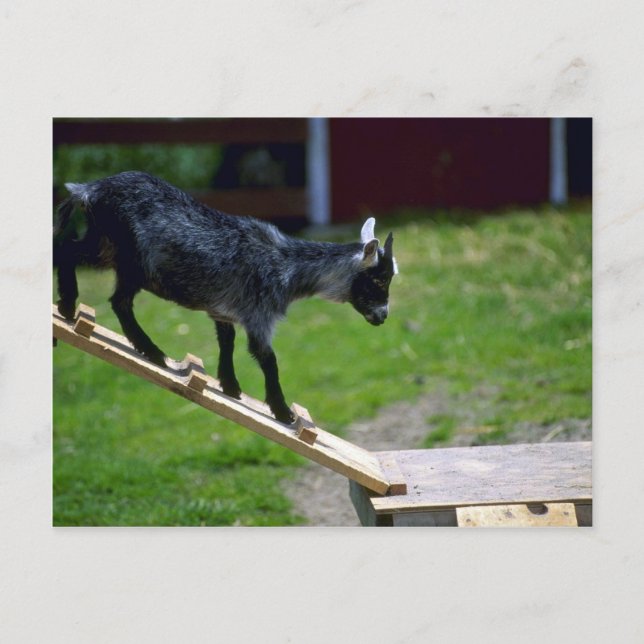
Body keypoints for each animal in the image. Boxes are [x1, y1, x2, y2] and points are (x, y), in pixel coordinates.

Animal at [54, 171, 397, 424]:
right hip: (129, 259)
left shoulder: (224, 312)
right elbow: (267, 359)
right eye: (379, 279)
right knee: (112, 293)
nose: (382, 316)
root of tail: (88, 190)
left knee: (72, 255)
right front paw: (283, 412)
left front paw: (230, 387)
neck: (286, 266)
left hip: (106, 246)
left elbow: (226, 341)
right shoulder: (259, 314)